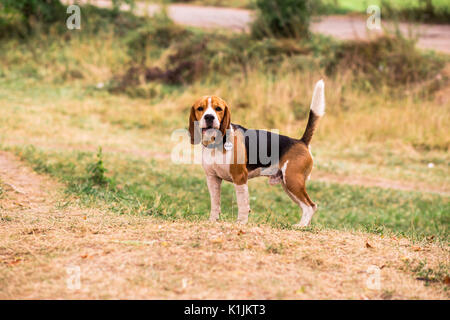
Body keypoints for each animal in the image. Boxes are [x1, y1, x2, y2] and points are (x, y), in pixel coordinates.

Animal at [188, 80, 326, 228]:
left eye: (218, 108)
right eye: (200, 108)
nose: (209, 117)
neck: (216, 144)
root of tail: (301, 141)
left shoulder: (240, 177)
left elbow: (243, 204)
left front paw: (241, 223)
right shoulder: (212, 178)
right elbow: (215, 203)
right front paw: (213, 221)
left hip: (293, 180)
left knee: (311, 206)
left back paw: (301, 226)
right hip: (289, 185)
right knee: (306, 207)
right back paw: (304, 225)